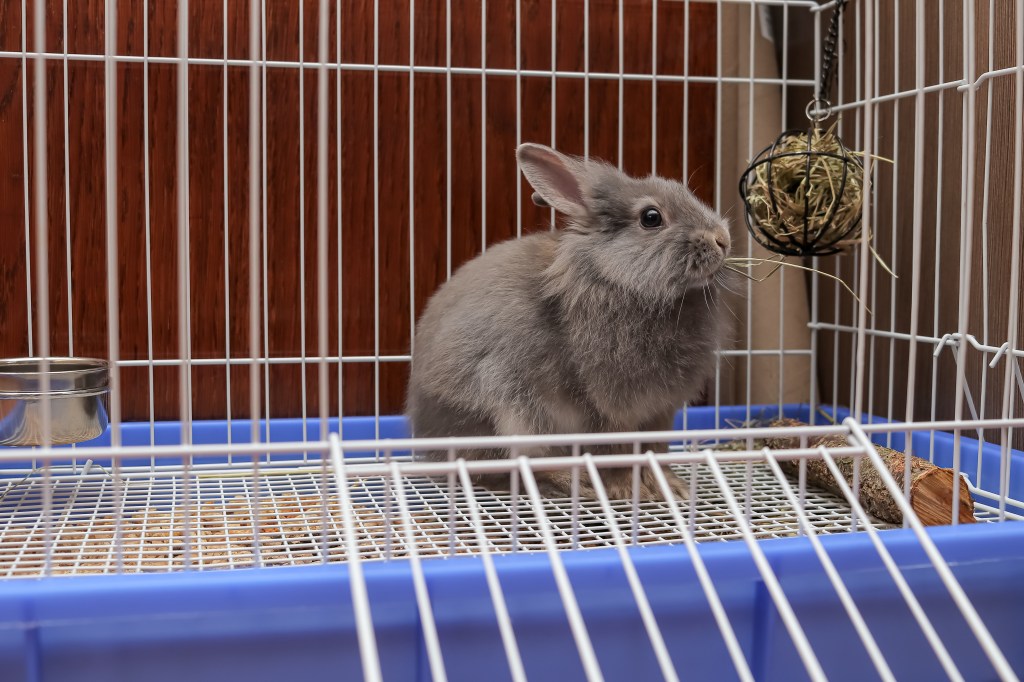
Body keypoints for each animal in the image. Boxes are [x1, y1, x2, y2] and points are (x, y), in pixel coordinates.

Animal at [403, 142, 733, 499]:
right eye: (651, 218)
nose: (722, 239)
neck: (614, 277)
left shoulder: (659, 412)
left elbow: (654, 451)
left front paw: (672, 488)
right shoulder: (607, 408)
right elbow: (613, 452)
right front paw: (624, 489)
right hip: (511, 406)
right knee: (512, 464)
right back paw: (572, 480)